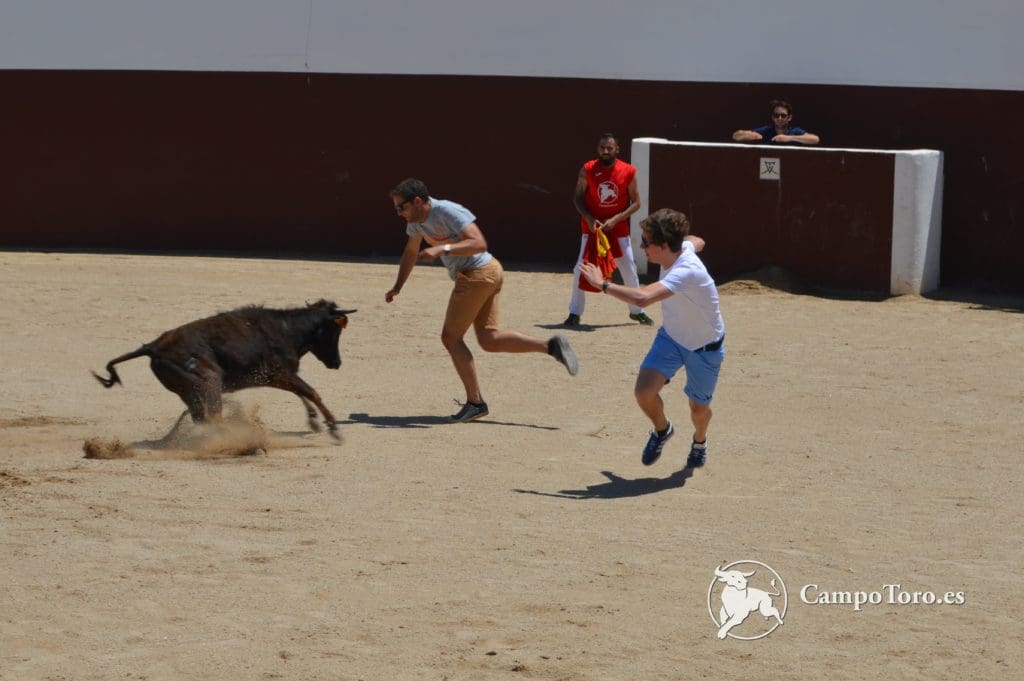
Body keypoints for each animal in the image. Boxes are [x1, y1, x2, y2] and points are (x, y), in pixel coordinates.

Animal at [92, 301, 356, 438]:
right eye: (336, 331)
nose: (337, 363)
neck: (288, 329)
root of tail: (153, 346)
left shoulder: (278, 376)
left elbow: (302, 393)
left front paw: (314, 421)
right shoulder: (280, 374)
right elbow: (311, 392)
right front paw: (334, 428)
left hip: (189, 391)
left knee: (202, 417)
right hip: (209, 382)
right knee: (214, 417)